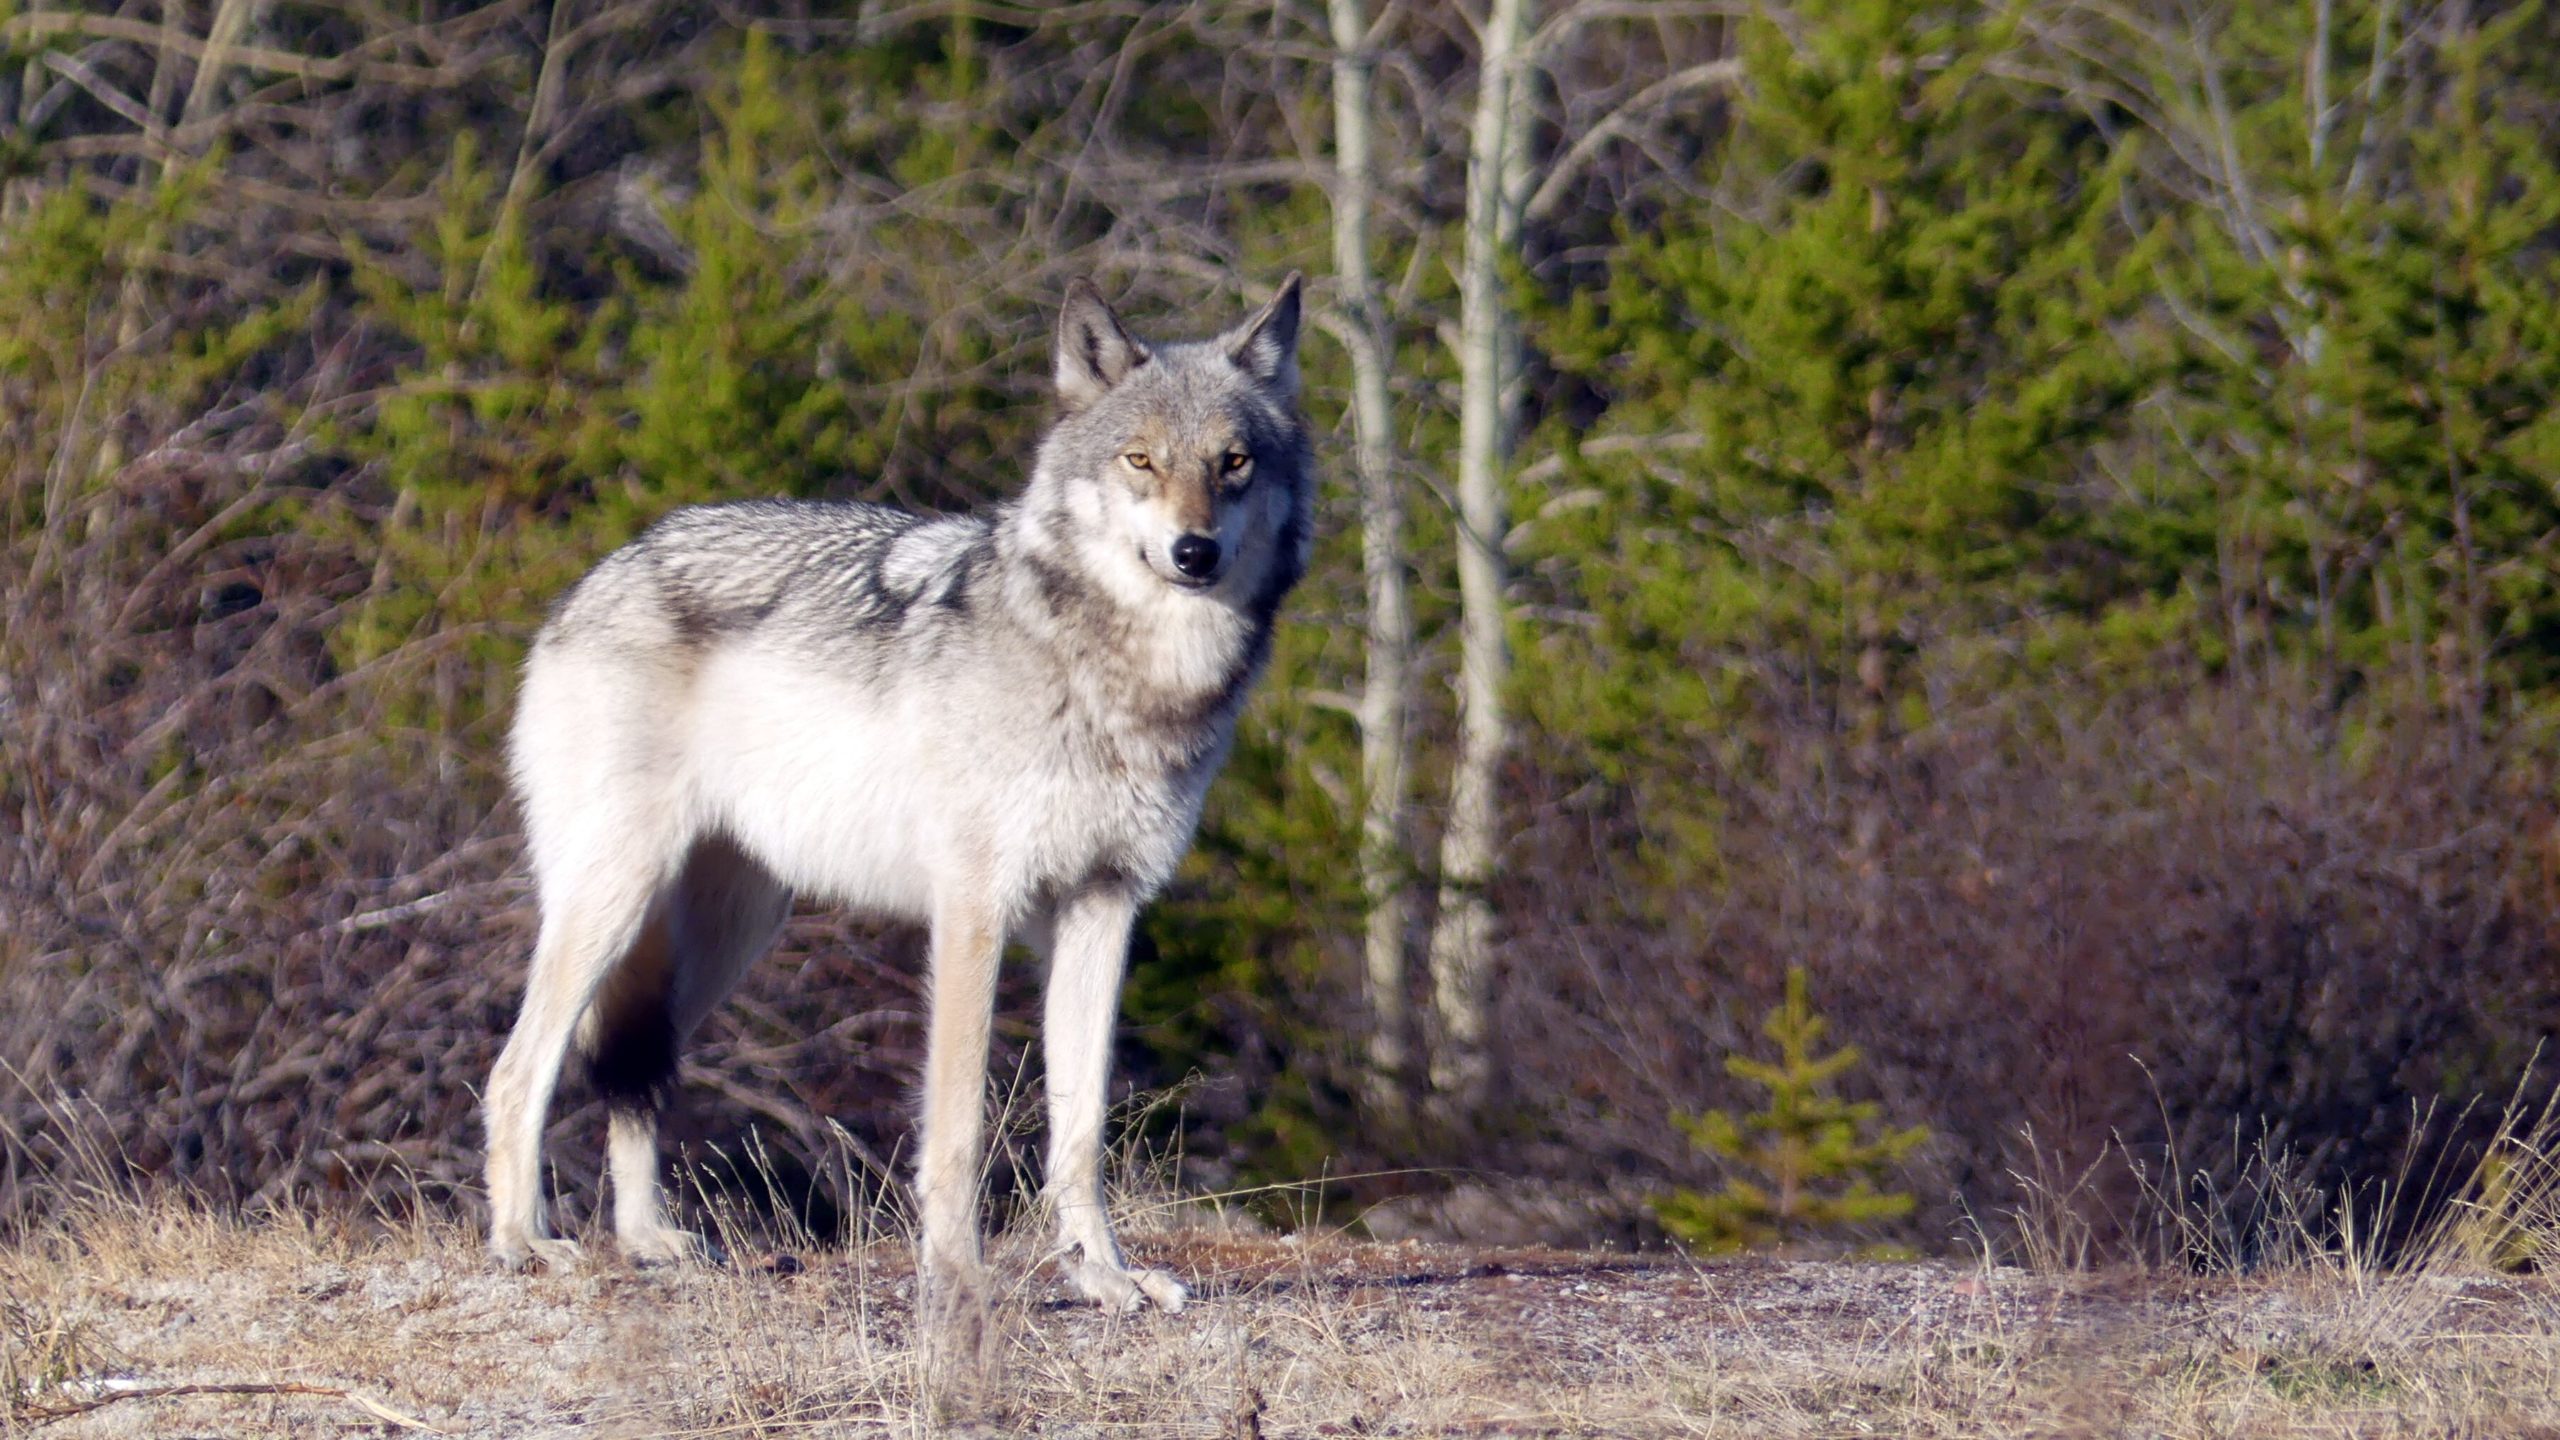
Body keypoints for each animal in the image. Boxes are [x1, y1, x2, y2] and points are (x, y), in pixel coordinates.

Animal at [481, 271, 1310, 1311]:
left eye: (1233, 463)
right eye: (1141, 460)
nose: (1194, 552)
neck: (1118, 675)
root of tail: (603, 571)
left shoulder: (1105, 905)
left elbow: (1080, 1129)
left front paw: (1104, 1279)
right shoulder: (972, 909)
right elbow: (956, 1125)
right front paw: (959, 1276)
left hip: (724, 933)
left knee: (638, 1073)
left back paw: (647, 1240)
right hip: (615, 899)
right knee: (517, 1071)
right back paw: (523, 1242)